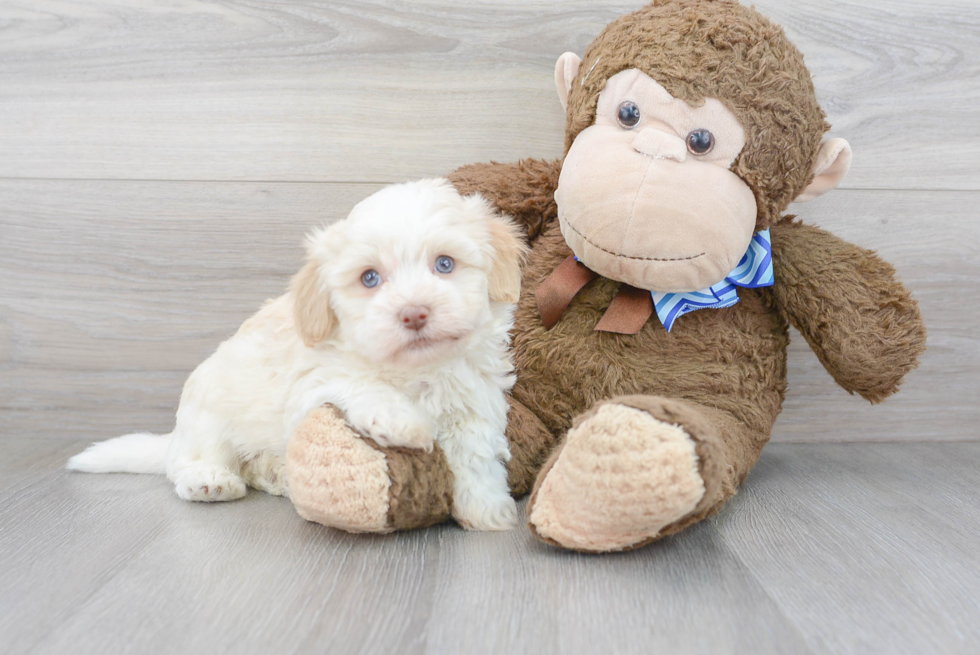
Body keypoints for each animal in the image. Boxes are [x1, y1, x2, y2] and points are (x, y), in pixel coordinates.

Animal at [67, 179, 528, 532]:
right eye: (370, 278)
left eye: (445, 264)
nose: (414, 313)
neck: (416, 371)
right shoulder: (314, 384)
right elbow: (362, 384)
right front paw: (404, 421)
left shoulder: (473, 407)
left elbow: (476, 458)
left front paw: (488, 511)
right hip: (209, 414)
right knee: (186, 463)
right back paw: (209, 481)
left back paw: (275, 475)